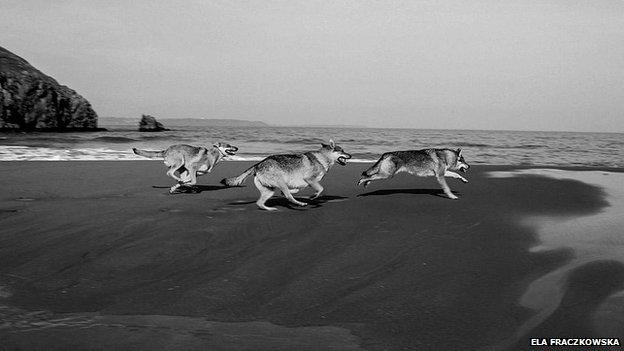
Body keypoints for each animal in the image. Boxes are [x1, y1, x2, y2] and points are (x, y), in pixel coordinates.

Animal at [222, 140, 354, 212]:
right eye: (342, 151)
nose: (351, 155)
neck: (323, 158)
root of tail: (258, 164)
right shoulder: (309, 179)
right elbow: (320, 189)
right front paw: (313, 196)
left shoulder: (304, 183)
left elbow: (297, 190)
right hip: (281, 182)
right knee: (288, 197)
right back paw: (300, 204)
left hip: (269, 191)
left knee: (260, 203)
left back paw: (271, 209)